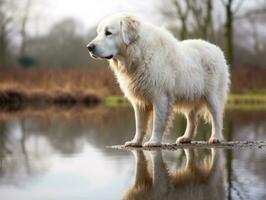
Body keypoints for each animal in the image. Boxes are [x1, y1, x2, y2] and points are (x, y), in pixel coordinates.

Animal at [87, 12, 229, 147]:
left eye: (108, 33)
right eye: (99, 33)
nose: (89, 47)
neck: (138, 53)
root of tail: (217, 49)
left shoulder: (160, 97)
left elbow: (158, 122)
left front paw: (154, 142)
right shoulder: (139, 101)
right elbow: (139, 125)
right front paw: (135, 142)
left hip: (212, 96)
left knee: (217, 117)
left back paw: (215, 137)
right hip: (190, 95)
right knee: (192, 119)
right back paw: (186, 138)